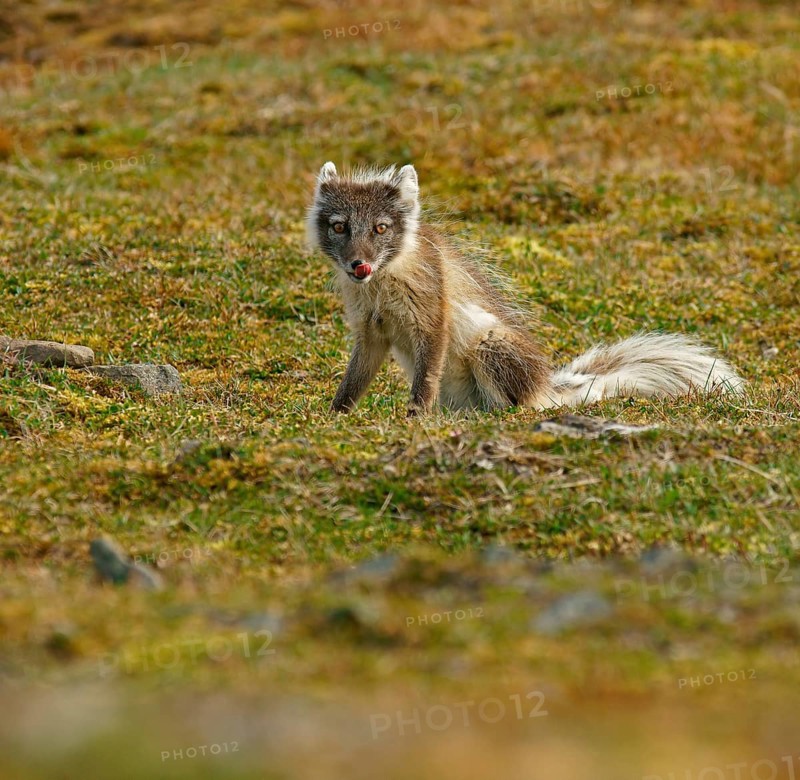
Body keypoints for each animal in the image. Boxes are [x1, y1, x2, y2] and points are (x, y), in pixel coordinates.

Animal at [306, 161, 745, 416]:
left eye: (381, 228)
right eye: (340, 226)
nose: (358, 265)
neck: (381, 286)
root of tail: (546, 387)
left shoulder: (431, 320)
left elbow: (426, 378)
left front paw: (415, 418)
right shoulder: (370, 331)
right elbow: (353, 380)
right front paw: (335, 416)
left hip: (490, 341)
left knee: (519, 409)